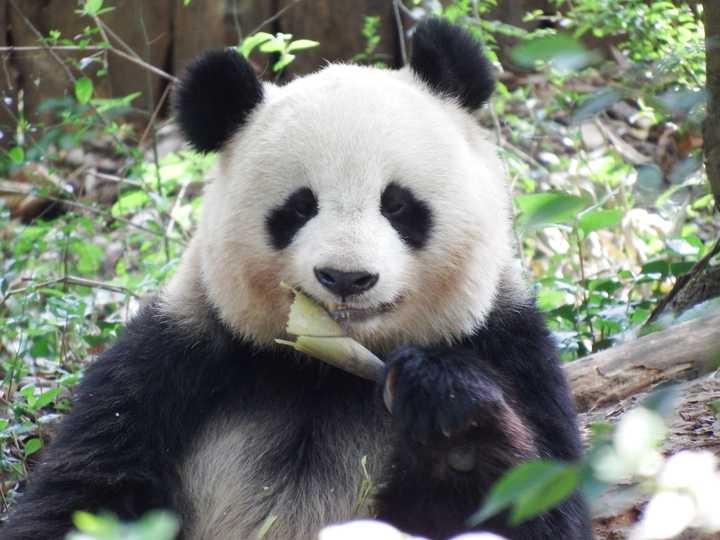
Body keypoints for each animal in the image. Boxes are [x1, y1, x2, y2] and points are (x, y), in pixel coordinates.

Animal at [4, 16, 592, 540]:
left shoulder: (511, 350)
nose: (347, 277)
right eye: (299, 207)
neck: (327, 368)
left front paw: (448, 412)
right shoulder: (174, 358)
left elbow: (537, 507)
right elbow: (83, 492)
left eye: (398, 205)